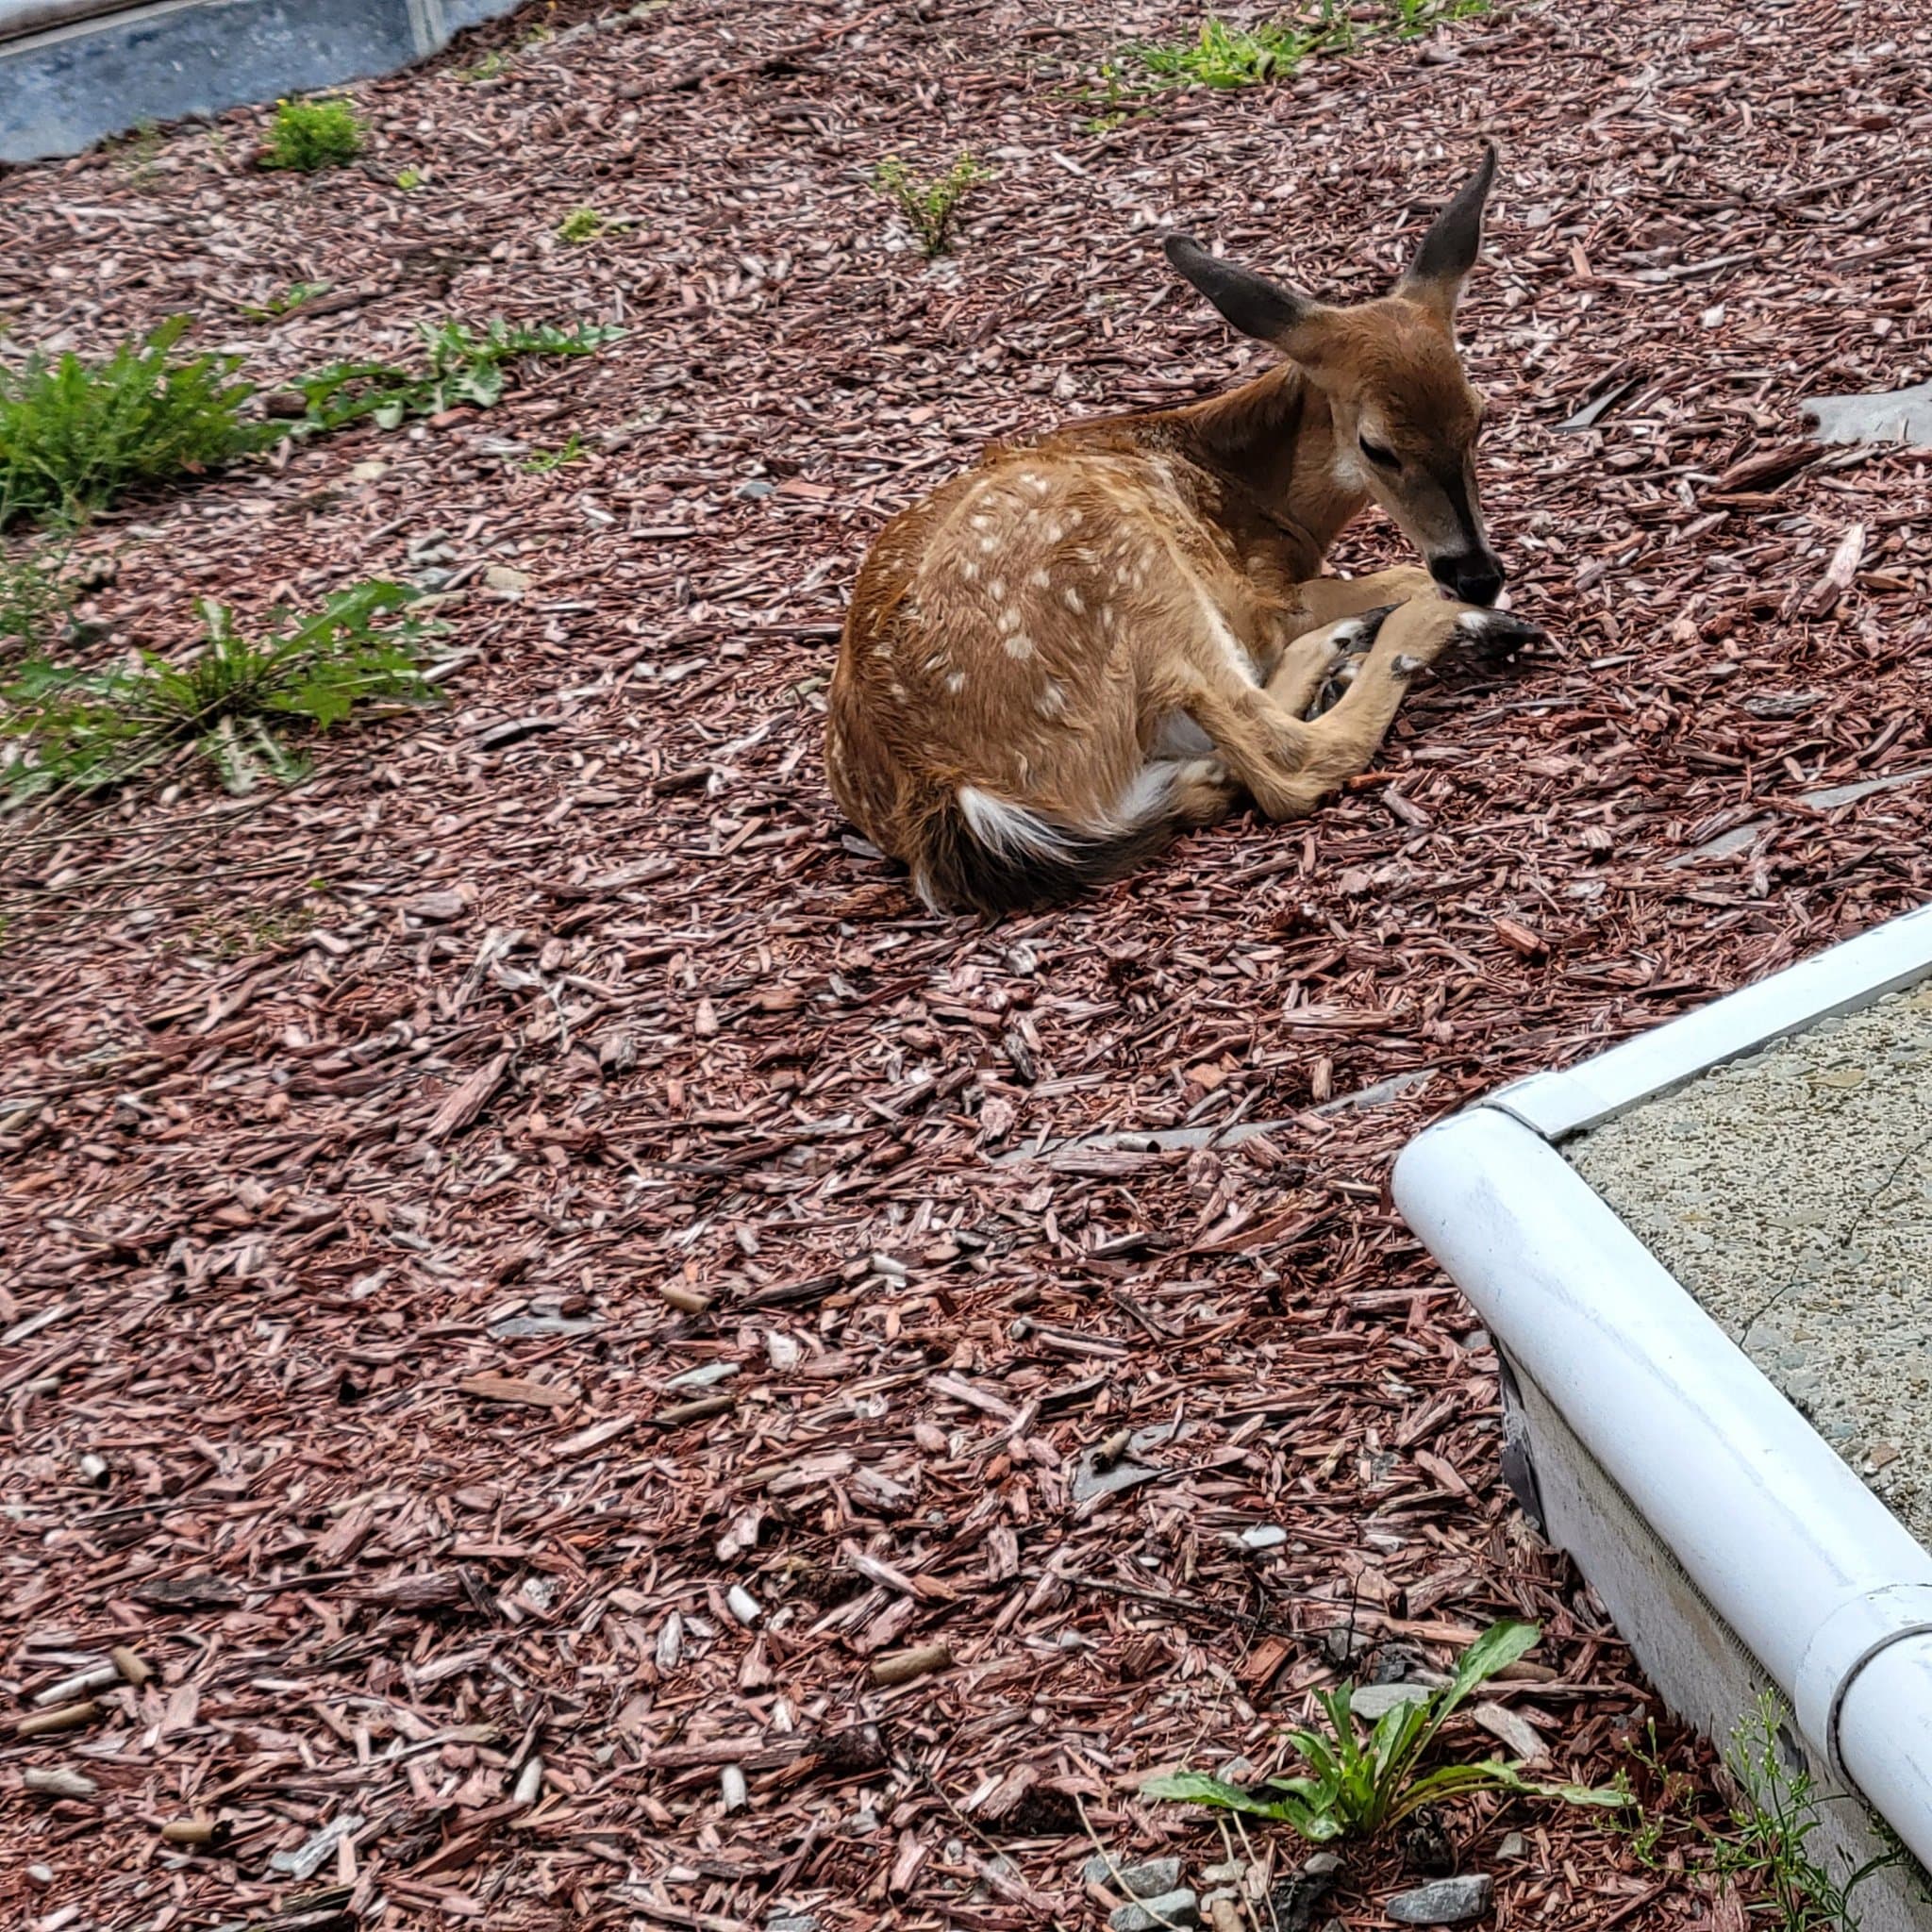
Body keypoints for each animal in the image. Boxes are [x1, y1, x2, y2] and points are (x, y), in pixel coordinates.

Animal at [824, 145, 1544, 916]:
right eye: (1377, 446)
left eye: (1481, 415)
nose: (1477, 573)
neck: (1254, 493)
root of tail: (948, 788)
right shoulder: (1255, 597)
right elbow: (1387, 577)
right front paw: (1452, 609)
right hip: (1129, 568)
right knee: (1286, 761)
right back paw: (1422, 633)